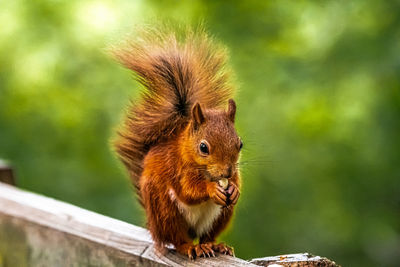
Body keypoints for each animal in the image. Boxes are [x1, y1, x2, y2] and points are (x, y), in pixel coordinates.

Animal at [113, 27, 244, 260]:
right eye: (203, 147)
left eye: (240, 144)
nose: (226, 173)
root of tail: (153, 227)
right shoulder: (177, 168)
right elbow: (188, 190)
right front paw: (211, 189)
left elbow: (237, 181)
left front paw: (235, 189)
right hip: (166, 212)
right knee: (177, 239)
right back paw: (191, 247)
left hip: (222, 215)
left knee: (207, 236)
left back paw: (216, 245)